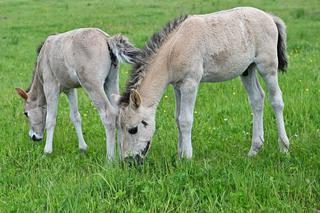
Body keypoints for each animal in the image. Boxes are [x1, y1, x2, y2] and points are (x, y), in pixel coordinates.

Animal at [15, 27, 139, 159]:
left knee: (108, 114)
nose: (33, 137)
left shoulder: (50, 86)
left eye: (26, 113)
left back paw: (110, 158)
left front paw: (47, 151)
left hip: (92, 85)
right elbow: (75, 116)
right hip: (111, 81)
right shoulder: (70, 90)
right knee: (118, 112)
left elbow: (50, 119)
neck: (44, 56)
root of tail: (106, 39)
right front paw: (83, 147)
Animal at [117, 7, 290, 162]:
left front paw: (187, 157)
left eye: (133, 129)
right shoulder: (177, 87)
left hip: (267, 67)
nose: (129, 161)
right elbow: (177, 118)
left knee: (276, 100)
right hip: (247, 70)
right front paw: (179, 155)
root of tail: (270, 17)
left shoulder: (190, 83)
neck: (173, 50)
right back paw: (254, 149)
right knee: (257, 99)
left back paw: (284, 147)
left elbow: (185, 120)